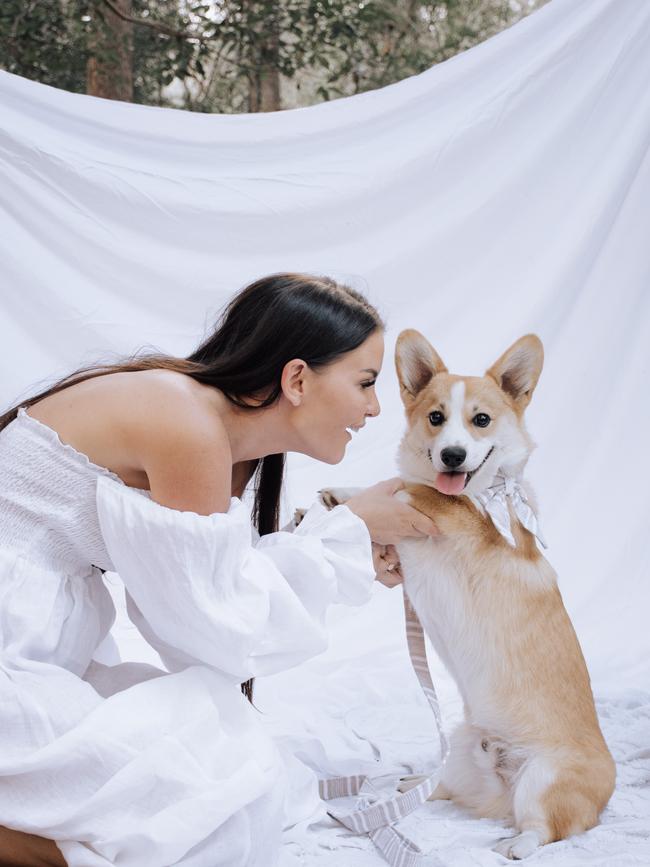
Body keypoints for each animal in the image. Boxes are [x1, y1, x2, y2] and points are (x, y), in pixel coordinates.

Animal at [322, 332, 612, 860]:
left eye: (481, 420)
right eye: (436, 417)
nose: (453, 456)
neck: (483, 493)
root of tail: (501, 790)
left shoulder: (460, 517)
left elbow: (416, 489)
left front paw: (361, 495)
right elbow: (406, 488)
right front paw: (340, 497)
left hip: (544, 777)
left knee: (548, 827)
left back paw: (517, 844)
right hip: (459, 748)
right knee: (445, 788)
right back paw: (411, 782)